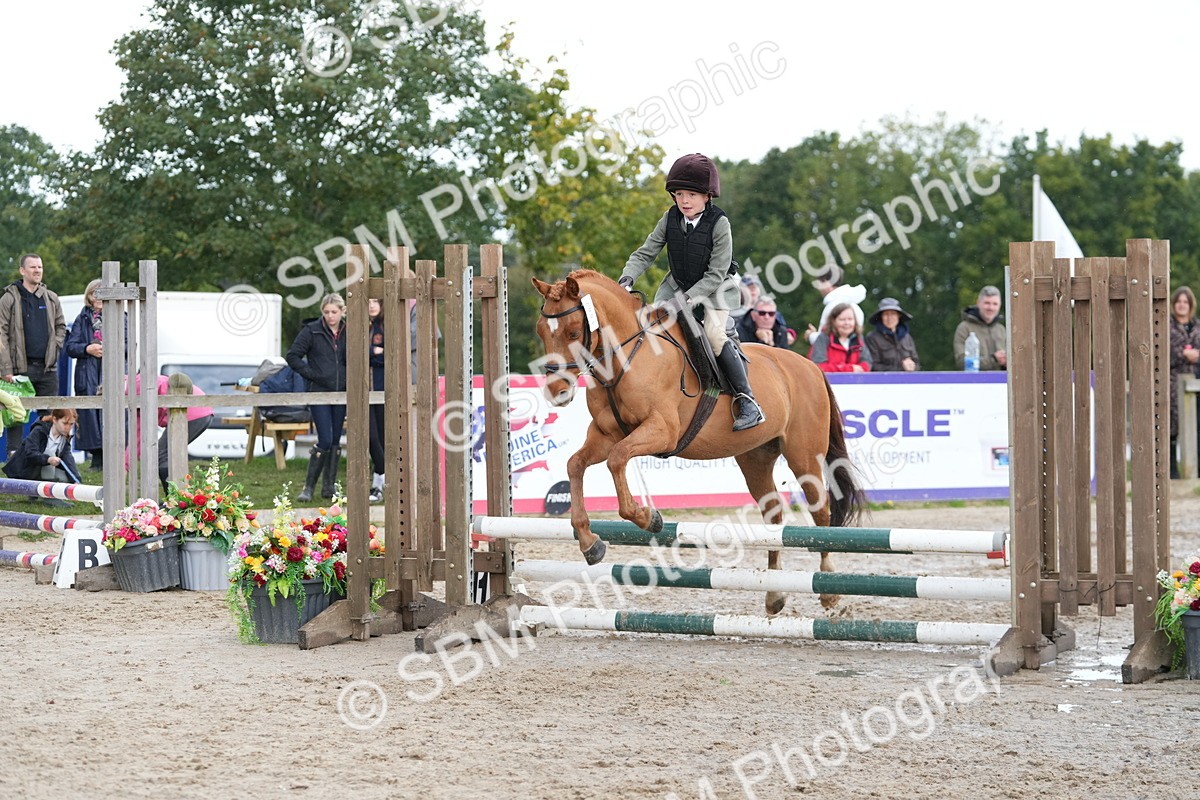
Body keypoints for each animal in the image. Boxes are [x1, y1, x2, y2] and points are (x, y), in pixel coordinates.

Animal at [531, 269, 866, 614]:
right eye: (541, 330)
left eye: (573, 332)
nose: (557, 392)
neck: (627, 357)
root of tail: (809, 366)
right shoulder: (605, 435)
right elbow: (576, 465)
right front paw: (590, 543)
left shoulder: (662, 431)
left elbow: (618, 458)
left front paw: (648, 518)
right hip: (756, 458)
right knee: (773, 518)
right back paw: (774, 595)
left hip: (804, 457)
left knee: (821, 513)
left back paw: (829, 591)